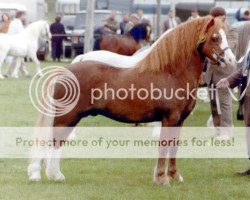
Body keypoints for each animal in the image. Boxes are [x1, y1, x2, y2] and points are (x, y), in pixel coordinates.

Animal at [29, 17, 236, 184]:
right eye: (215, 38)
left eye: (226, 36)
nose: (231, 60)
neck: (171, 72)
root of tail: (66, 71)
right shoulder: (169, 119)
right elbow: (163, 147)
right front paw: (161, 179)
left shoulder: (180, 121)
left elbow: (173, 148)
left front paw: (175, 176)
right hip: (66, 117)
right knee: (53, 141)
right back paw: (46, 174)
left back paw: (52, 174)